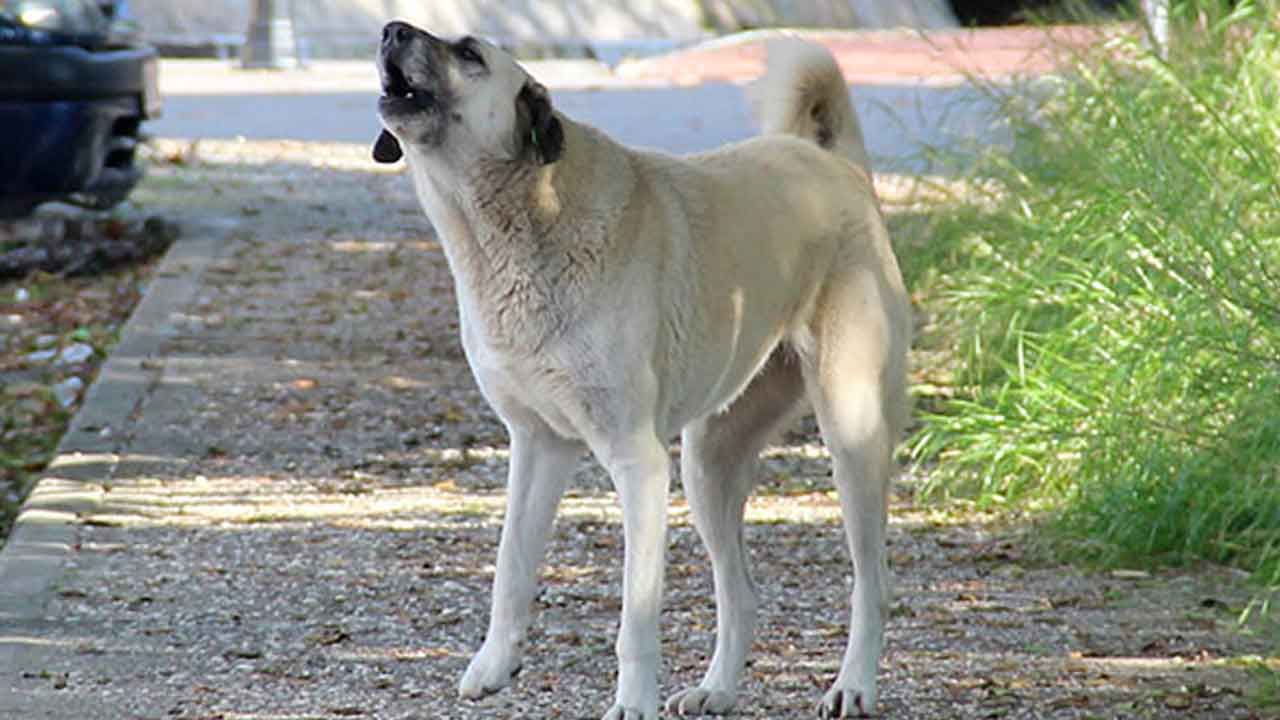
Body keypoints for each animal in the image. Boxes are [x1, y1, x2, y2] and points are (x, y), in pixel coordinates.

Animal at [371, 23, 911, 717]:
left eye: (469, 53)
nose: (390, 31)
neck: (525, 218)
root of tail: (837, 167)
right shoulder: (538, 446)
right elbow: (511, 565)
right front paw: (494, 663)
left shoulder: (638, 463)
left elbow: (636, 616)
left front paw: (631, 701)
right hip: (708, 464)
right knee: (740, 592)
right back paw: (716, 688)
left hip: (851, 433)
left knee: (872, 582)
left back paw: (853, 684)